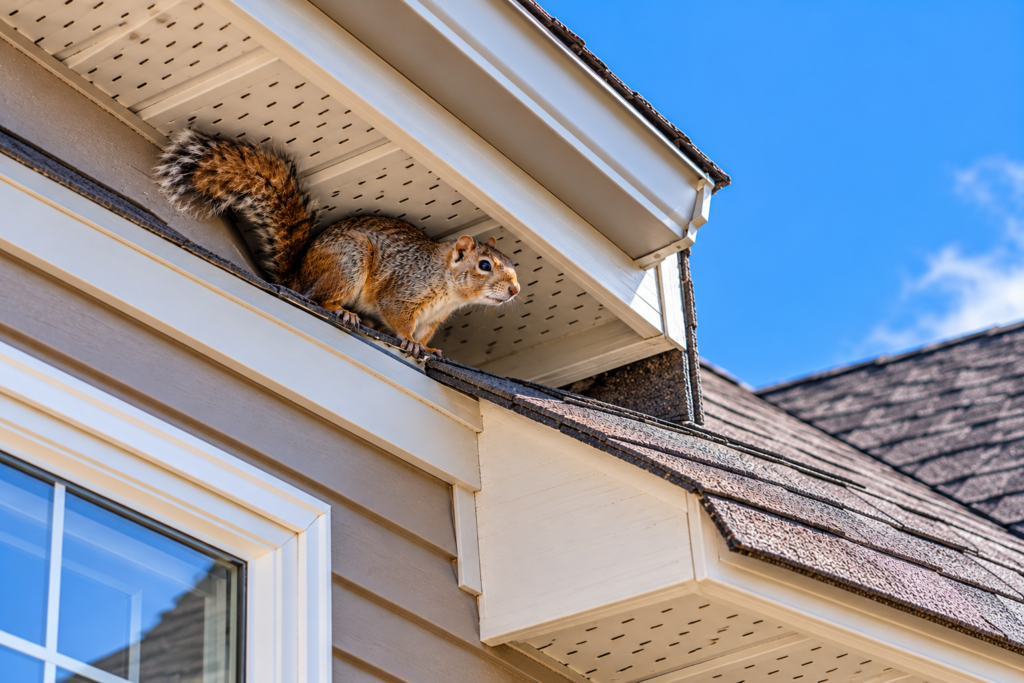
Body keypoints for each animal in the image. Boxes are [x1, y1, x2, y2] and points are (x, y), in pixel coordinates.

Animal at [154, 129, 520, 359]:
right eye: (484, 265)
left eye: (512, 265)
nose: (515, 290)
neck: (448, 289)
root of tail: (299, 274)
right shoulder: (403, 291)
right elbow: (397, 317)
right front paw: (408, 341)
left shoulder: (432, 320)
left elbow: (425, 336)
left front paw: (427, 349)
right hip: (348, 261)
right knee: (318, 297)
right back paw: (343, 311)